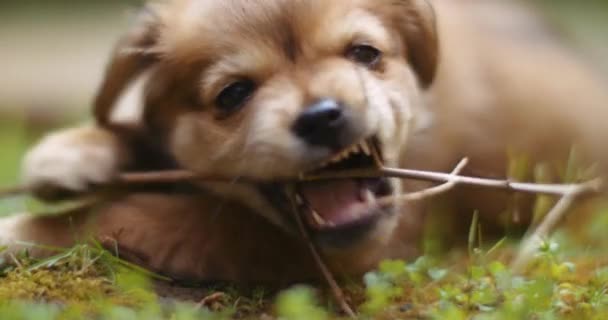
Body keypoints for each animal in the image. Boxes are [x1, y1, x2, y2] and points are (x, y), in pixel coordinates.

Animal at [1, 0, 608, 284]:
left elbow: (126, 215)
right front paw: (74, 152)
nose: (322, 118)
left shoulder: (360, 248)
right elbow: (143, 141)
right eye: (233, 94)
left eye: (364, 54)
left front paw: (27, 229)